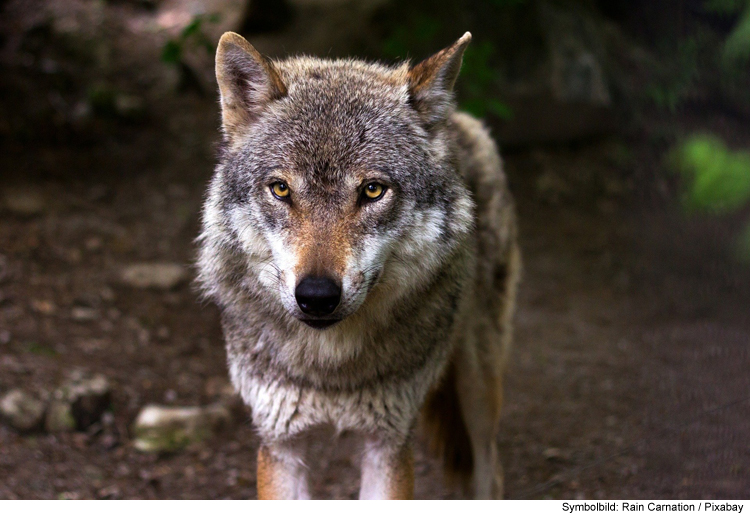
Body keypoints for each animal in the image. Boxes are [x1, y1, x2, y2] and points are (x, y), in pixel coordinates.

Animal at [197, 29, 520, 500]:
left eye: (372, 191)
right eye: (280, 189)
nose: (316, 296)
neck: (331, 369)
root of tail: (457, 119)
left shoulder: (387, 443)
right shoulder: (280, 444)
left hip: (479, 387)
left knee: (490, 470)